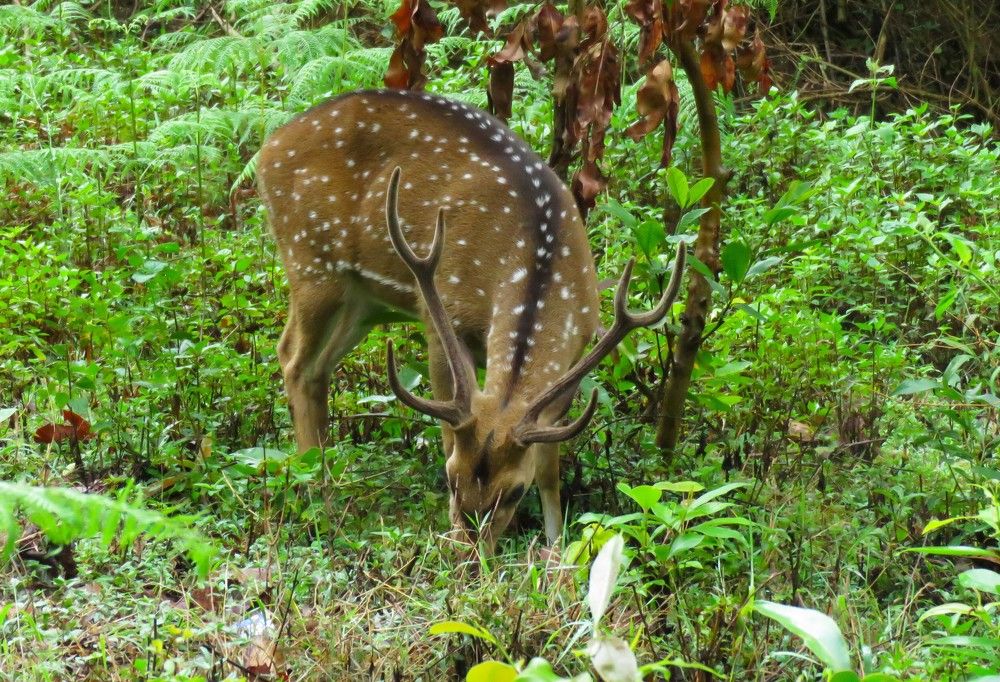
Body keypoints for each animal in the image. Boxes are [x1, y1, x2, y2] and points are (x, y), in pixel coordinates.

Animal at [257, 89, 685, 554]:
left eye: (515, 492)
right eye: (449, 477)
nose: (472, 554)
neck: (539, 258)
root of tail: (267, 149)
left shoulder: (576, 352)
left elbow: (549, 468)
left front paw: (555, 548)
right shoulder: (444, 312)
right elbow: (447, 428)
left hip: (364, 301)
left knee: (316, 367)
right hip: (311, 261)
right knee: (292, 357)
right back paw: (316, 497)